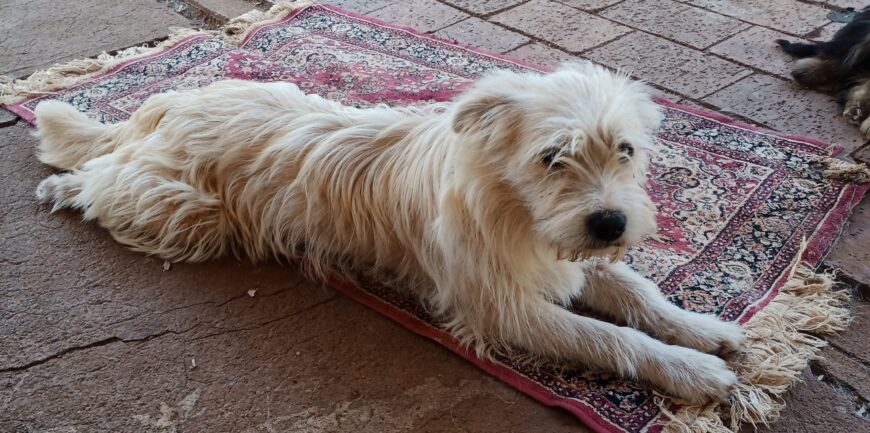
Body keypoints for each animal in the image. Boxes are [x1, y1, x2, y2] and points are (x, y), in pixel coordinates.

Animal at [32, 62, 744, 404]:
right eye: (552, 158)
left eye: (625, 150)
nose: (612, 222)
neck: (514, 206)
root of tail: (169, 101)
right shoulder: (505, 308)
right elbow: (610, 338)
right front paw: (691, 371)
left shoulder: (573, 256)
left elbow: (637, 295)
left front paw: (702, 330)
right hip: (187, 211)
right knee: (107, 179)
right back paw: (67, 187)